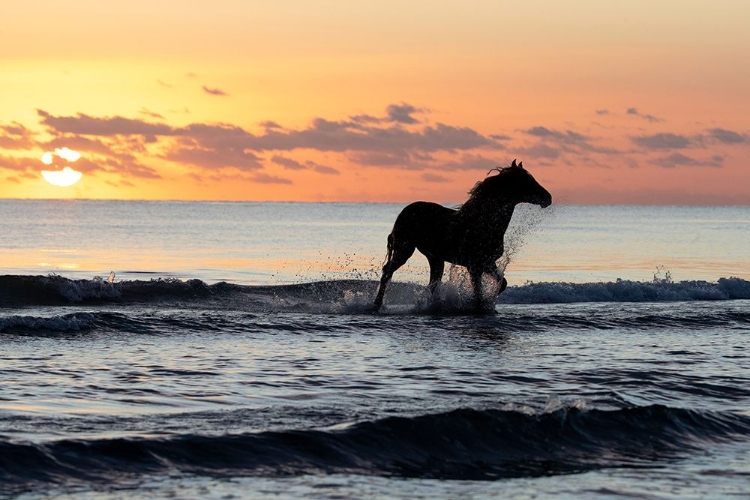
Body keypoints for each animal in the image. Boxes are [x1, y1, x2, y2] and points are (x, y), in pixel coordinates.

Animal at [374, 160, 552, 310]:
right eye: (526, 182)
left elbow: (502, 283)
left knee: (432, 284)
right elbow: (478, 292)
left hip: (435, 259)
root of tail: (404, 212)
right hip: (404, 250)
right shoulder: (475, 266)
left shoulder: (488, 263)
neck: (484, 222)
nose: (548, 198)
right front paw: (479, 306)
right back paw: (377, 304)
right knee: (387, 273)